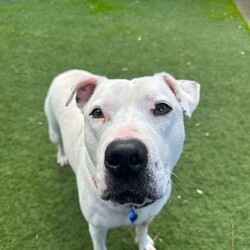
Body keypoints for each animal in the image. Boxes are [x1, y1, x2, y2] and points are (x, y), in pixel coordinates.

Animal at [44, 69, 201, 250]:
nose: (124, 156)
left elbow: (142, 228)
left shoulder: (148, 215)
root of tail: (67, 72)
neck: (129, 206)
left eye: (162, 108)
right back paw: (62, 156)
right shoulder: (97, 228)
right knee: (58, 142)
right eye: (97, 112)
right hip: (53, 129)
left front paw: (144, 242)